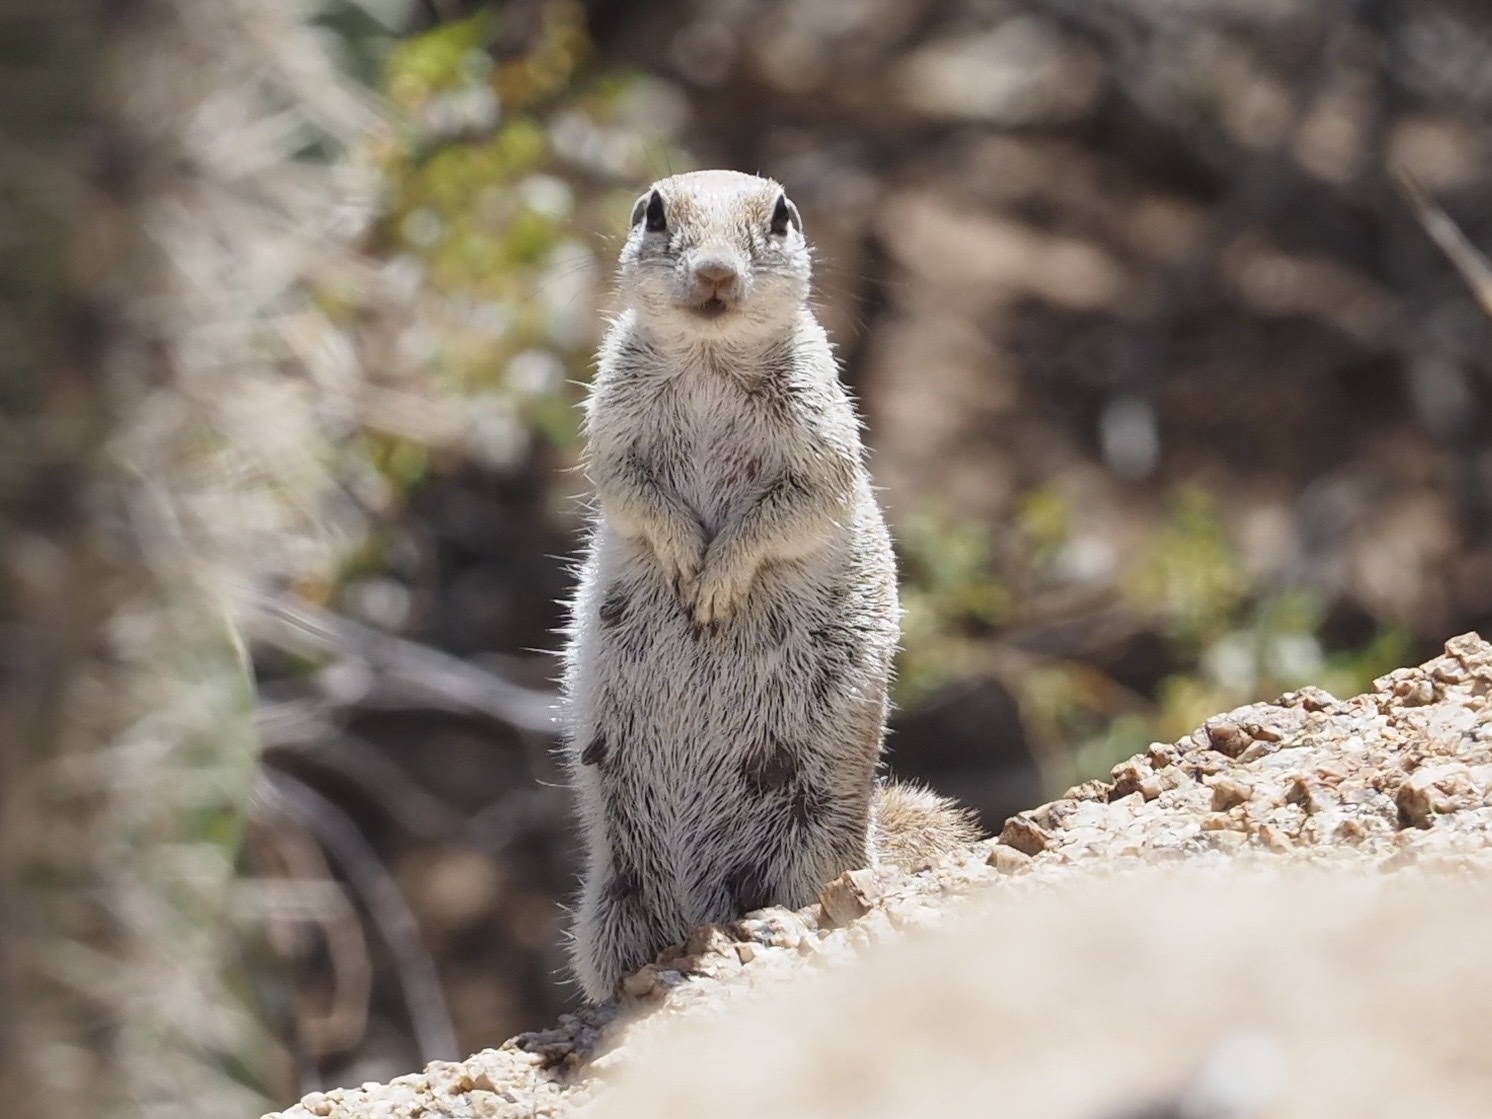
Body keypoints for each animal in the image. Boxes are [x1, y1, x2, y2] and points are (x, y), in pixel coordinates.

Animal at [561, 169, 978, 1002]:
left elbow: (801, 501)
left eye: (781, 216)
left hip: (810, 827)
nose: (717, 274)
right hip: (615, 899)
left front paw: (718, 579)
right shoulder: (611, 412)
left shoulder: (821, 424)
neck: (710, 358)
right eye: (655, 212)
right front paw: (685, 556)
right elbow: (626, 485)